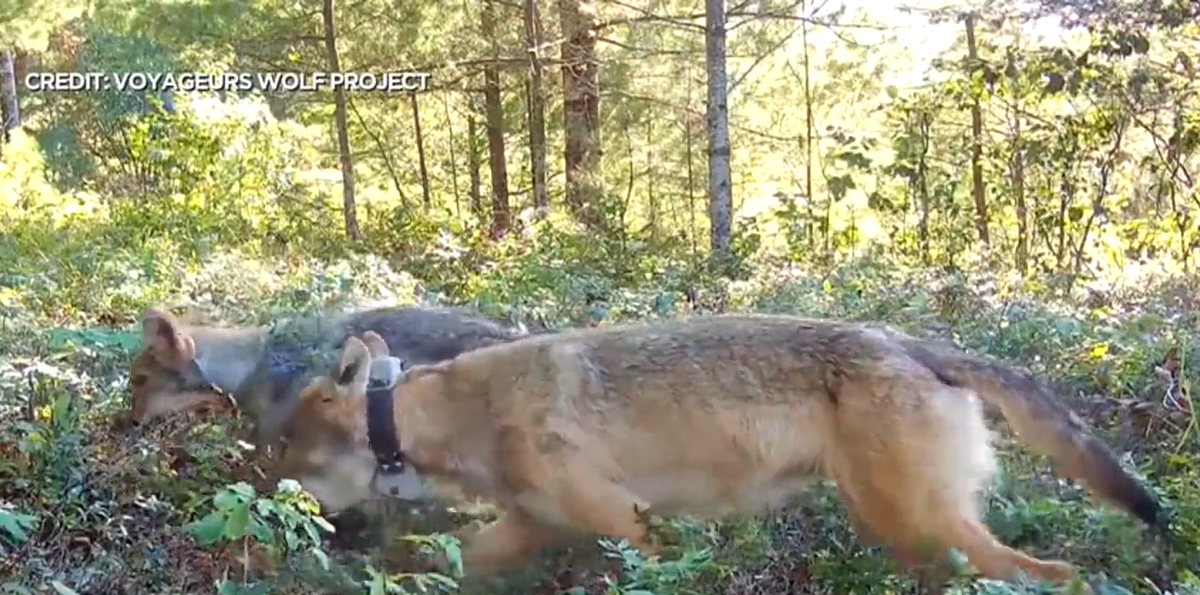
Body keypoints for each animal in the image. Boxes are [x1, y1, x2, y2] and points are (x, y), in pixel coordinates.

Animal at [278, 316, 1161, 590]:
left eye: (292, 456)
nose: (293, 518)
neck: (463, 416)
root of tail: (912, 342)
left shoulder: (629, 523)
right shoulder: (531, 524)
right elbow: (446, 561)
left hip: (921, 525)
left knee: (1056, 573)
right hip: (906, 535)